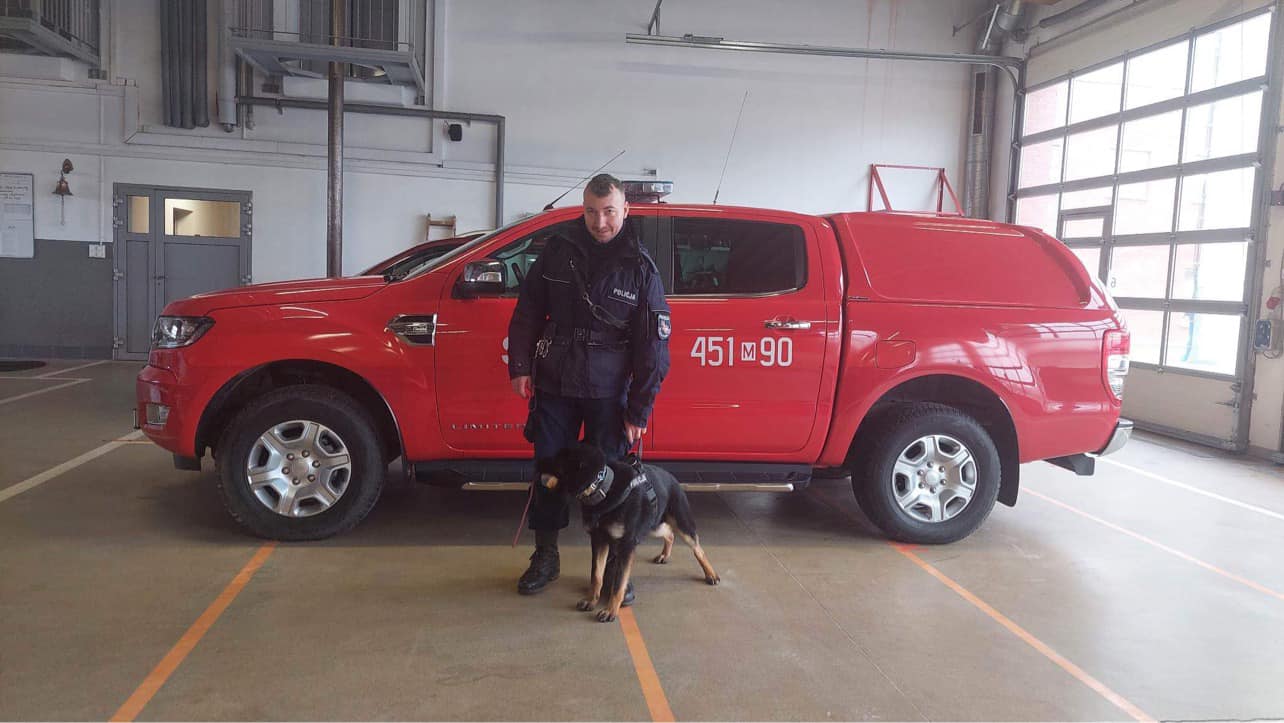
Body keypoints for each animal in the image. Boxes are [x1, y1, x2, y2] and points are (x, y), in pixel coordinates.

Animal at [538, 442, 719, 622]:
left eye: (558, 462)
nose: (538, 462)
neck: (603, 488)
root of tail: (672, 479)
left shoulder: (626, 546)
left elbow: (618, 584)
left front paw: (610, 610)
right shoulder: (599, 540)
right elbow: (596, 575)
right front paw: (591, 600)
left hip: (681, 524)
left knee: (697, 548)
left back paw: (711, 574)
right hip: (653, 525)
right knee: (669, 533)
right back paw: (664, 555)